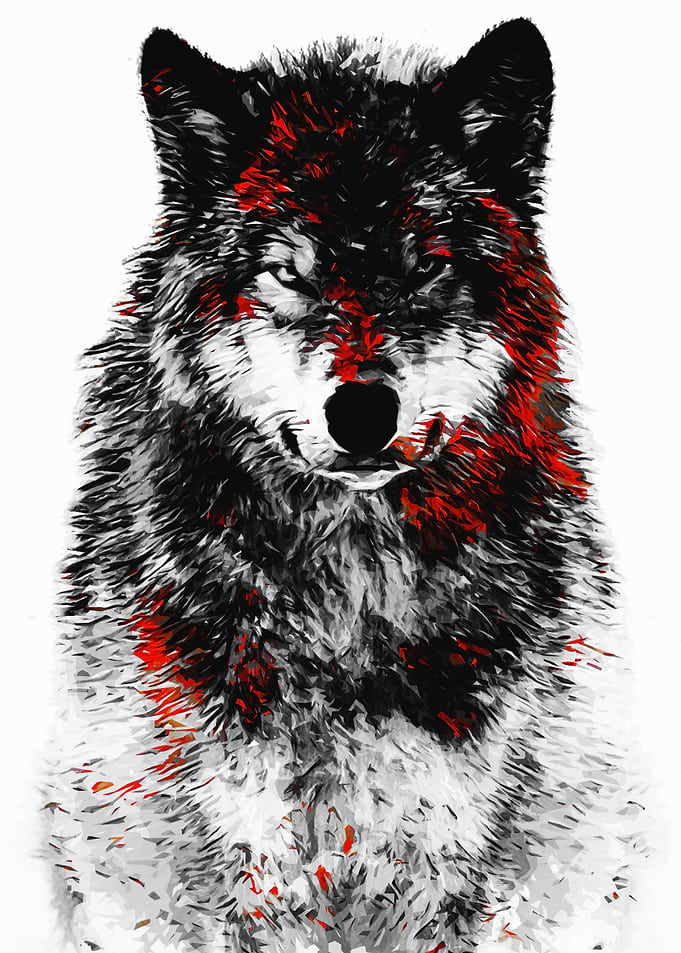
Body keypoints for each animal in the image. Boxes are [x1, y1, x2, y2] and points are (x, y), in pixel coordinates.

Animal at [45, 18, 643, 953]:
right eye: (289, 273)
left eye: (424, 266)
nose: (361, 412)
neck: (348, 593)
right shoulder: (227, 851)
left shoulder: (459, 852)